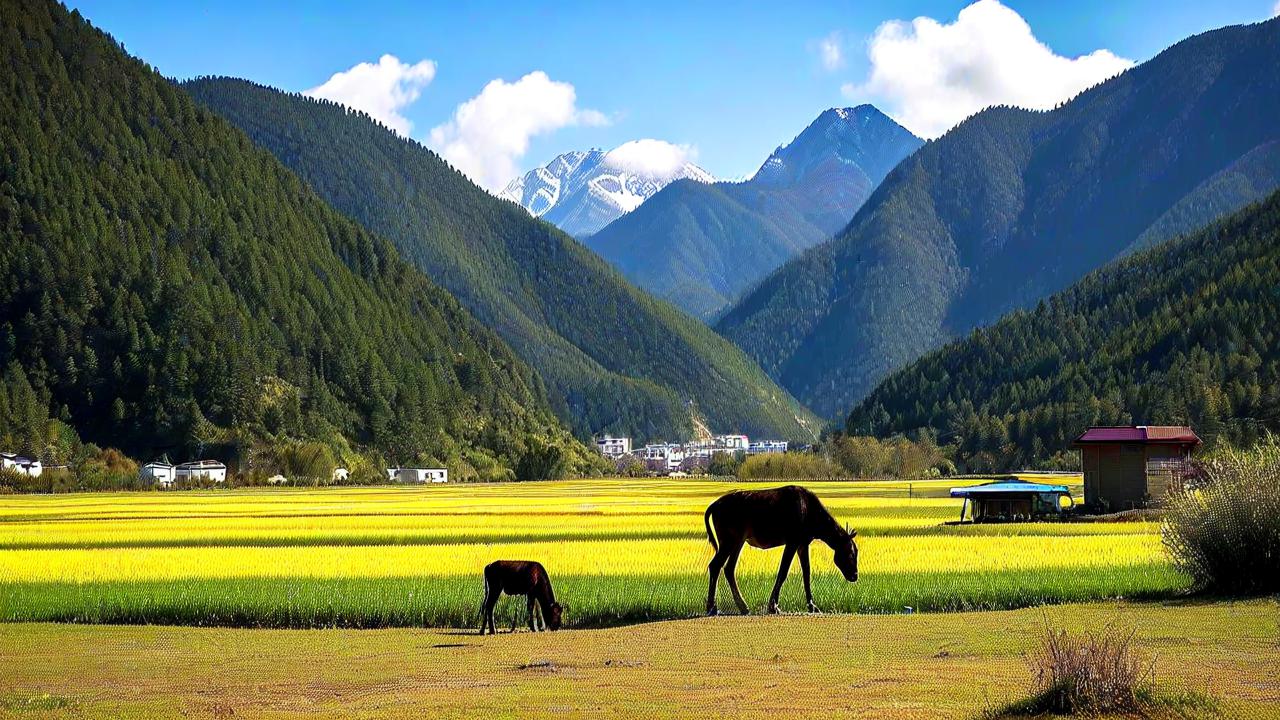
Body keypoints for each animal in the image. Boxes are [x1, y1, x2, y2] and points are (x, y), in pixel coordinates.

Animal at [706, 481, 855, 609]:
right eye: (851, 553)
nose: (855, 575)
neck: (810, 511)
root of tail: (715, 504)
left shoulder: (802, 544)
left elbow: (806, 573)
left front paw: (812, 605)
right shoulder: (792, 542)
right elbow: (783, 572)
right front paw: (773, 605)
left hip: (738, 542)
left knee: (729, 569)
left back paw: (743, 606)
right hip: (728, 542)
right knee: (715, 565)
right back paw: (712, 607)